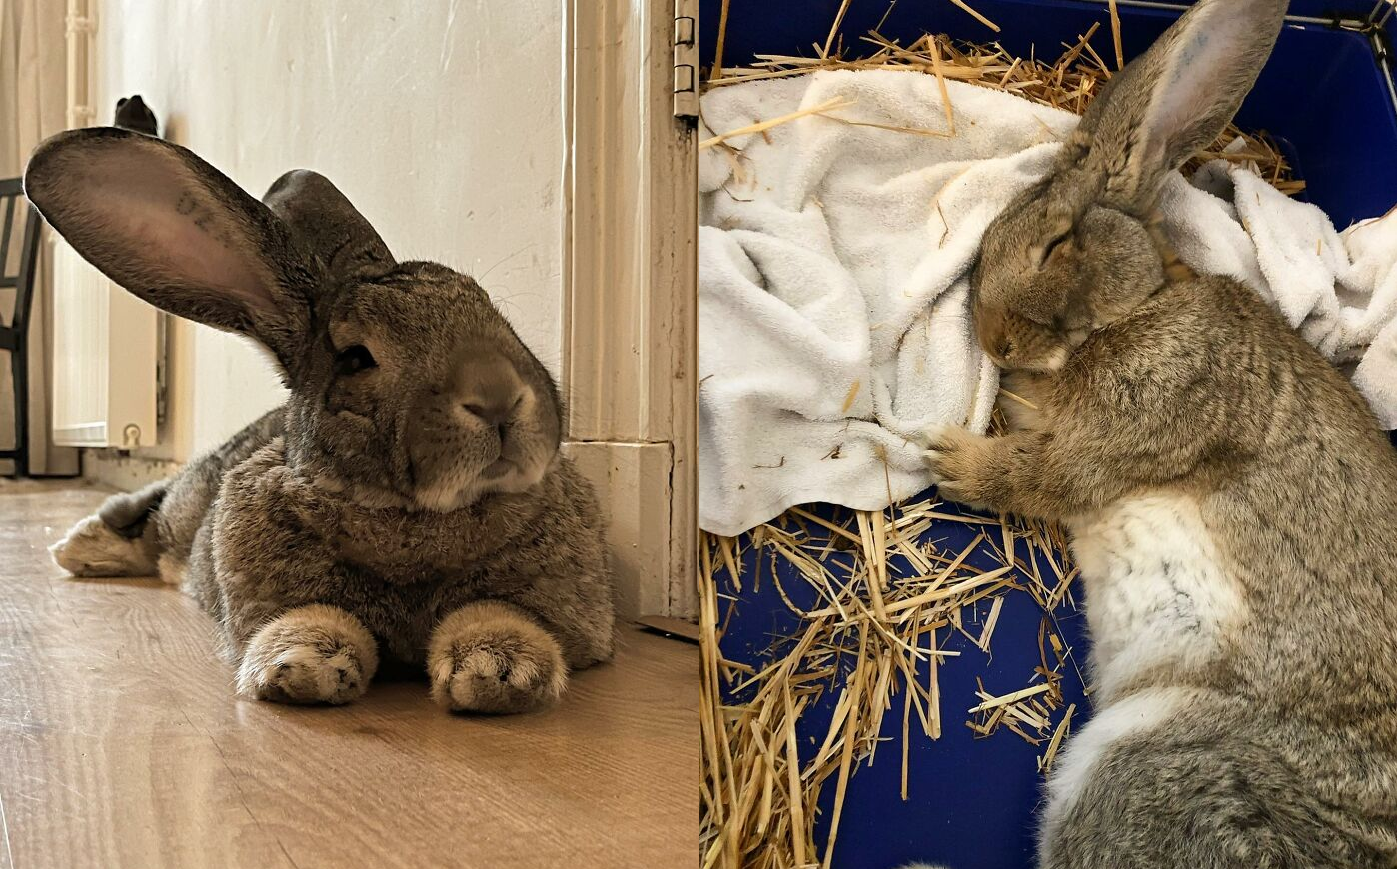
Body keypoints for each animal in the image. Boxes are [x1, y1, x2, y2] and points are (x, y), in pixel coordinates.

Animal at [24, 129, 614, 715]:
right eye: (355, 358)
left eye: (496, 314)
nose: (498, 399)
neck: (414, 517)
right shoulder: (271, 594)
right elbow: (307, 618)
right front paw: (299, 666)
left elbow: (507, 615)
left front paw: (501, 668)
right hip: (189, 499)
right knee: (146, 515)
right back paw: (80, 549)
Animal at [916, 0, 1397, 866]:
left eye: (1055, 242)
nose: (994, 341)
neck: (1136, 305)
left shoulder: (1139, 421)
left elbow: (1041, 471)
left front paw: (949, 457)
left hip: (1146, 763)